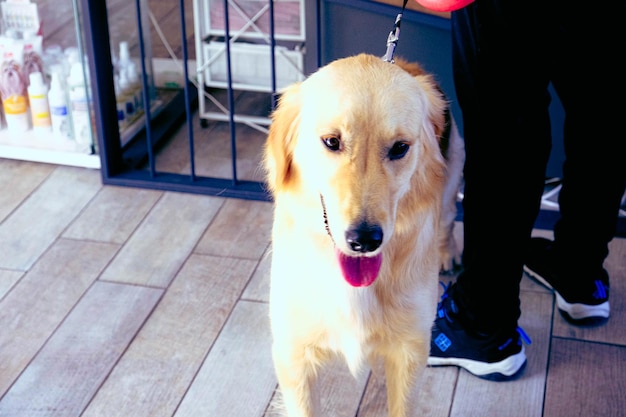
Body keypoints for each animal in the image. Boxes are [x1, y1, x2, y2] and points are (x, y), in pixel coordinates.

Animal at [260, 52, 460, 416]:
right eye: (331, 142)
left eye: (399, 147)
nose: (364, 240)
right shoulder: (294, 356)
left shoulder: (410, 352)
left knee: (449, 220)